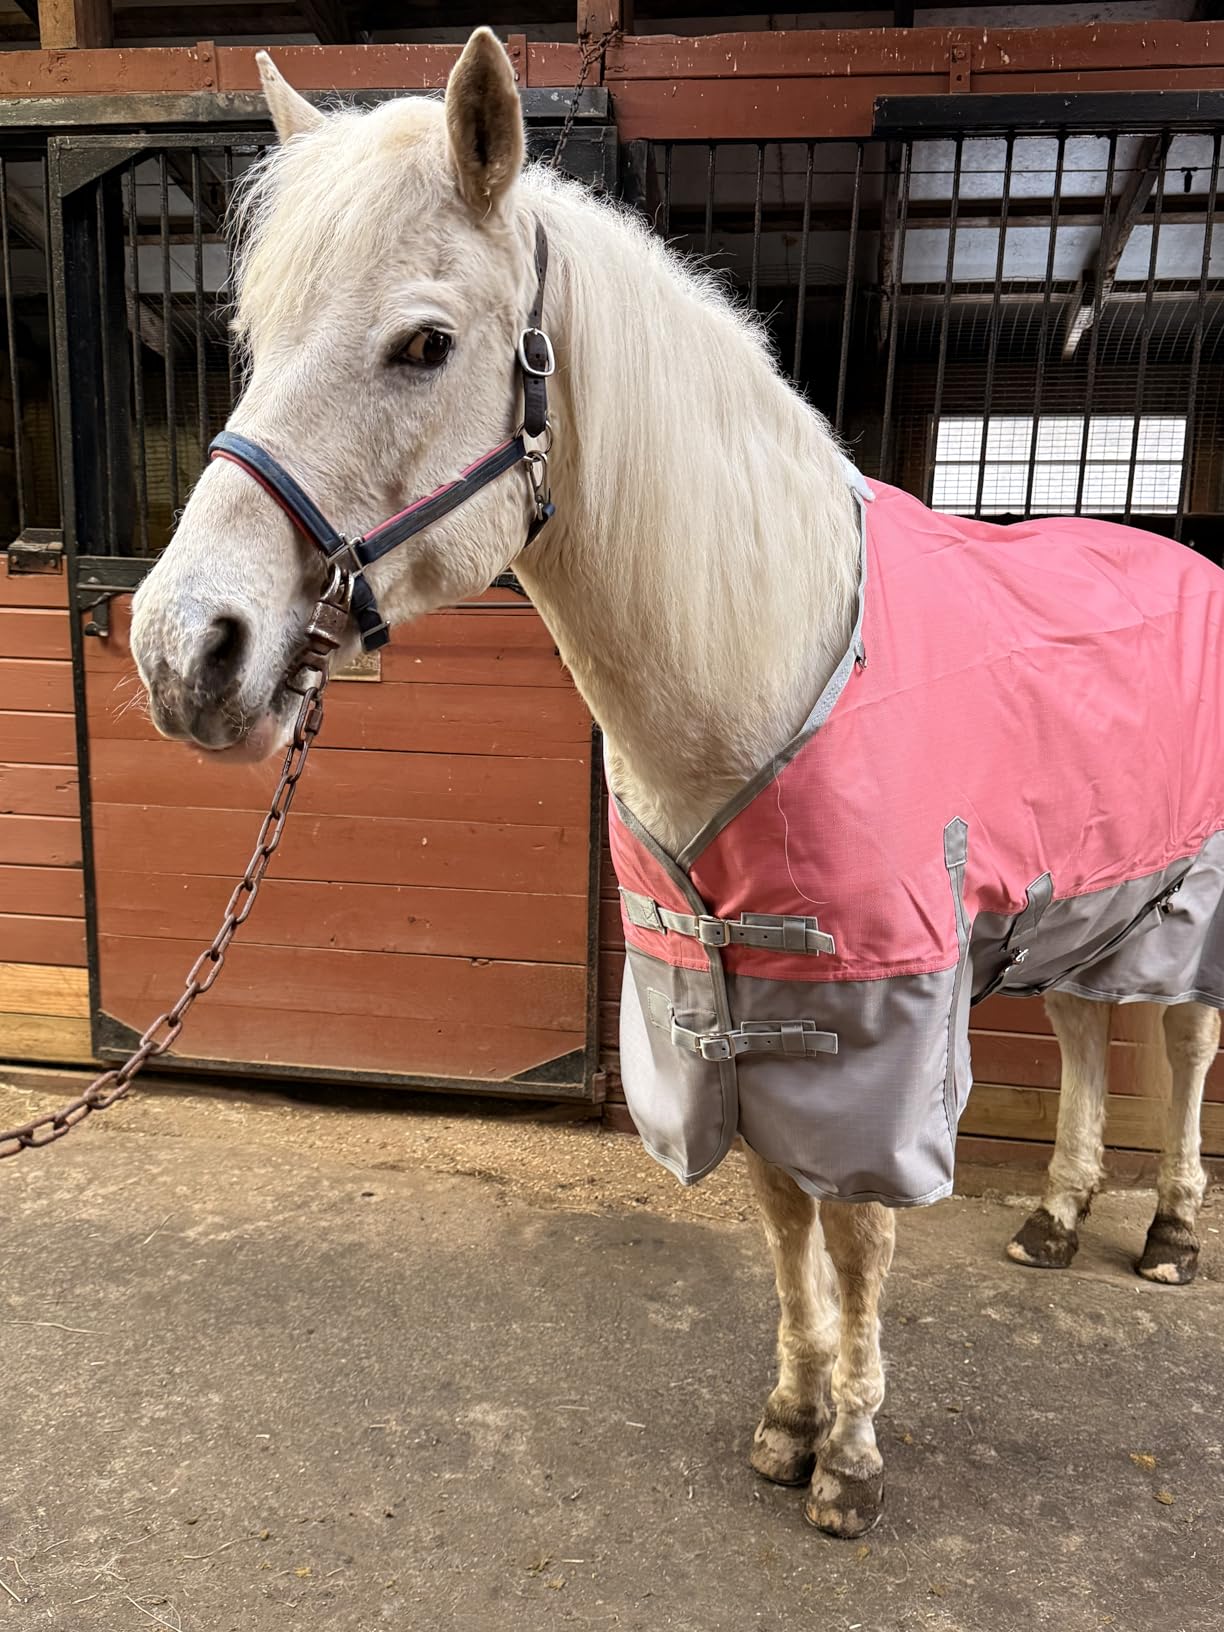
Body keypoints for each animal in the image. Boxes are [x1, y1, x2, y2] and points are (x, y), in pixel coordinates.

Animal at [129, 29, 1223, 1537]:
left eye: (425, 344)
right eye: (250, 340)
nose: (185, 655)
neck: (767, 650)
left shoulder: (878, 1012)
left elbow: (859, 1229)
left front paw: (852, 1458)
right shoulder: (723, 999)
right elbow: (779, 1208)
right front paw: (792, 1418)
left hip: (1186, 899)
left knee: (1183, 1043)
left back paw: (1169, 1229)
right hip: (1088, 897)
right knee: (1083, 1035)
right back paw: (1059, 1218)